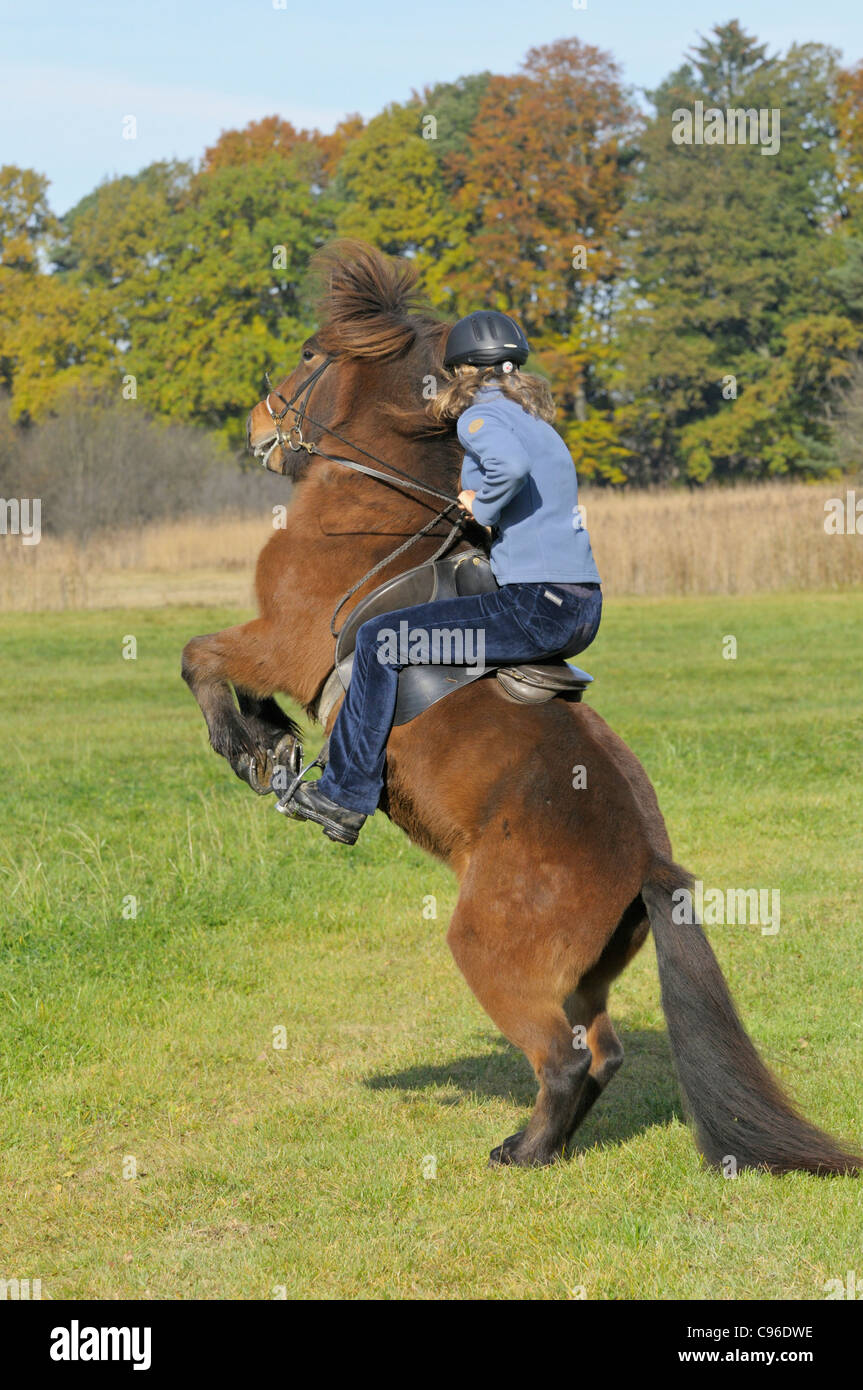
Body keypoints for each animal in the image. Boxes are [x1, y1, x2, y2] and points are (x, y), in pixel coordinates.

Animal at [180, 241, 856, 1173]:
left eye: (311, 353)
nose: (256, 426)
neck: (373, 507)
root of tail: (646, 866)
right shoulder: (282, 653)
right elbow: (232, 678)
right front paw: (271, 744)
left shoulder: (282, 640)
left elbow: (200, 659)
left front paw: (250, 750)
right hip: (581, 978)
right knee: (601, 1051)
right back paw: (545, 1143)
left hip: (489, 952)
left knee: (565, 1058)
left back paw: (523, 1151)